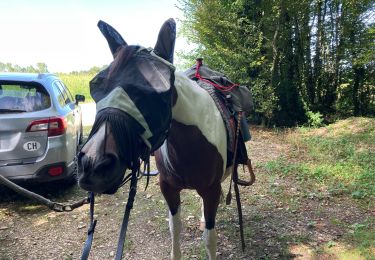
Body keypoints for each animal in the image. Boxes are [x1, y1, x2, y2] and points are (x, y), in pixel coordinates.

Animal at [78, 18, 234, 260]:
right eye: (97, 87)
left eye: (155, 93)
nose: (92, 165)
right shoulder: (168, 188)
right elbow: (174, 228)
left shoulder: (212, 190)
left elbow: (210, 239)